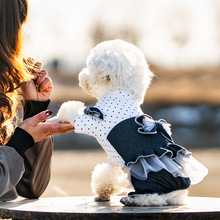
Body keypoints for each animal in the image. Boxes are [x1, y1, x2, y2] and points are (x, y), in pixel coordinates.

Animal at [51, 39, 208, 206]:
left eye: (90, 67)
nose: (81, 76)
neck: (121, 90)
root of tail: (177, 192)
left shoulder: (94, 122)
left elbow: (73, 113)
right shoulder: (114, 159)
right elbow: (109, 173)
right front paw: (103, 193)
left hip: (146, 177)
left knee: (154, 197)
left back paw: (133, 199)